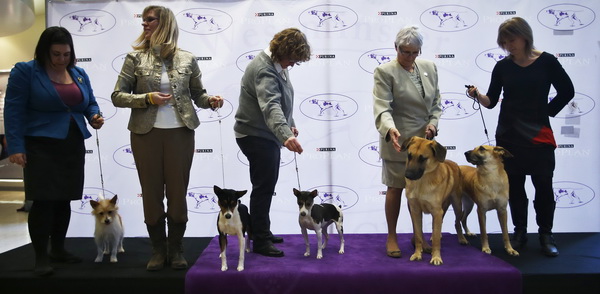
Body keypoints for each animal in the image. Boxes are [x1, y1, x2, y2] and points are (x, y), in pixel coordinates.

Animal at [404, 137, 468, 266]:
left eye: (423, 158)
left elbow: (437, 239)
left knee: (457, 222)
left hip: (457, 205)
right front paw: (417, 254)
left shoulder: (436, 211)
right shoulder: (415, 211)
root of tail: (453, 162)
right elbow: (418, 235)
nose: (407, 175)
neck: (422, 183)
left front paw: (436, 257)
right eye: (409, 155)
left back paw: (462, 238)